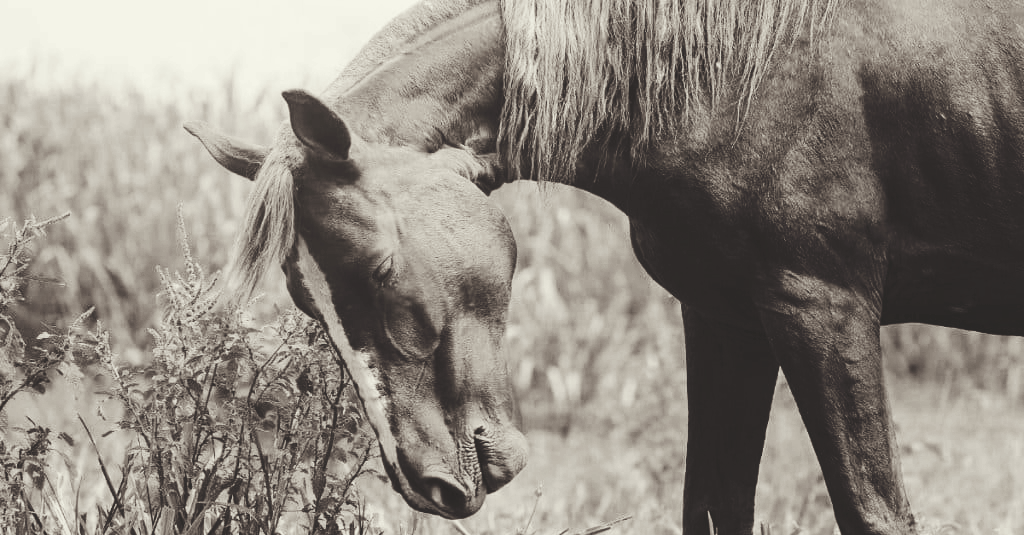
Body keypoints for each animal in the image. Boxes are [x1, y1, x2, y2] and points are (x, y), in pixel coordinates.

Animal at [188, 0, 1024, 528]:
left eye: (379, 271)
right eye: (305, 299)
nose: (426, 481)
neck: (734, 79)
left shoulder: (823, 307)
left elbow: (872, 510)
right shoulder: (726, 318)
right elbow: (714, 506)